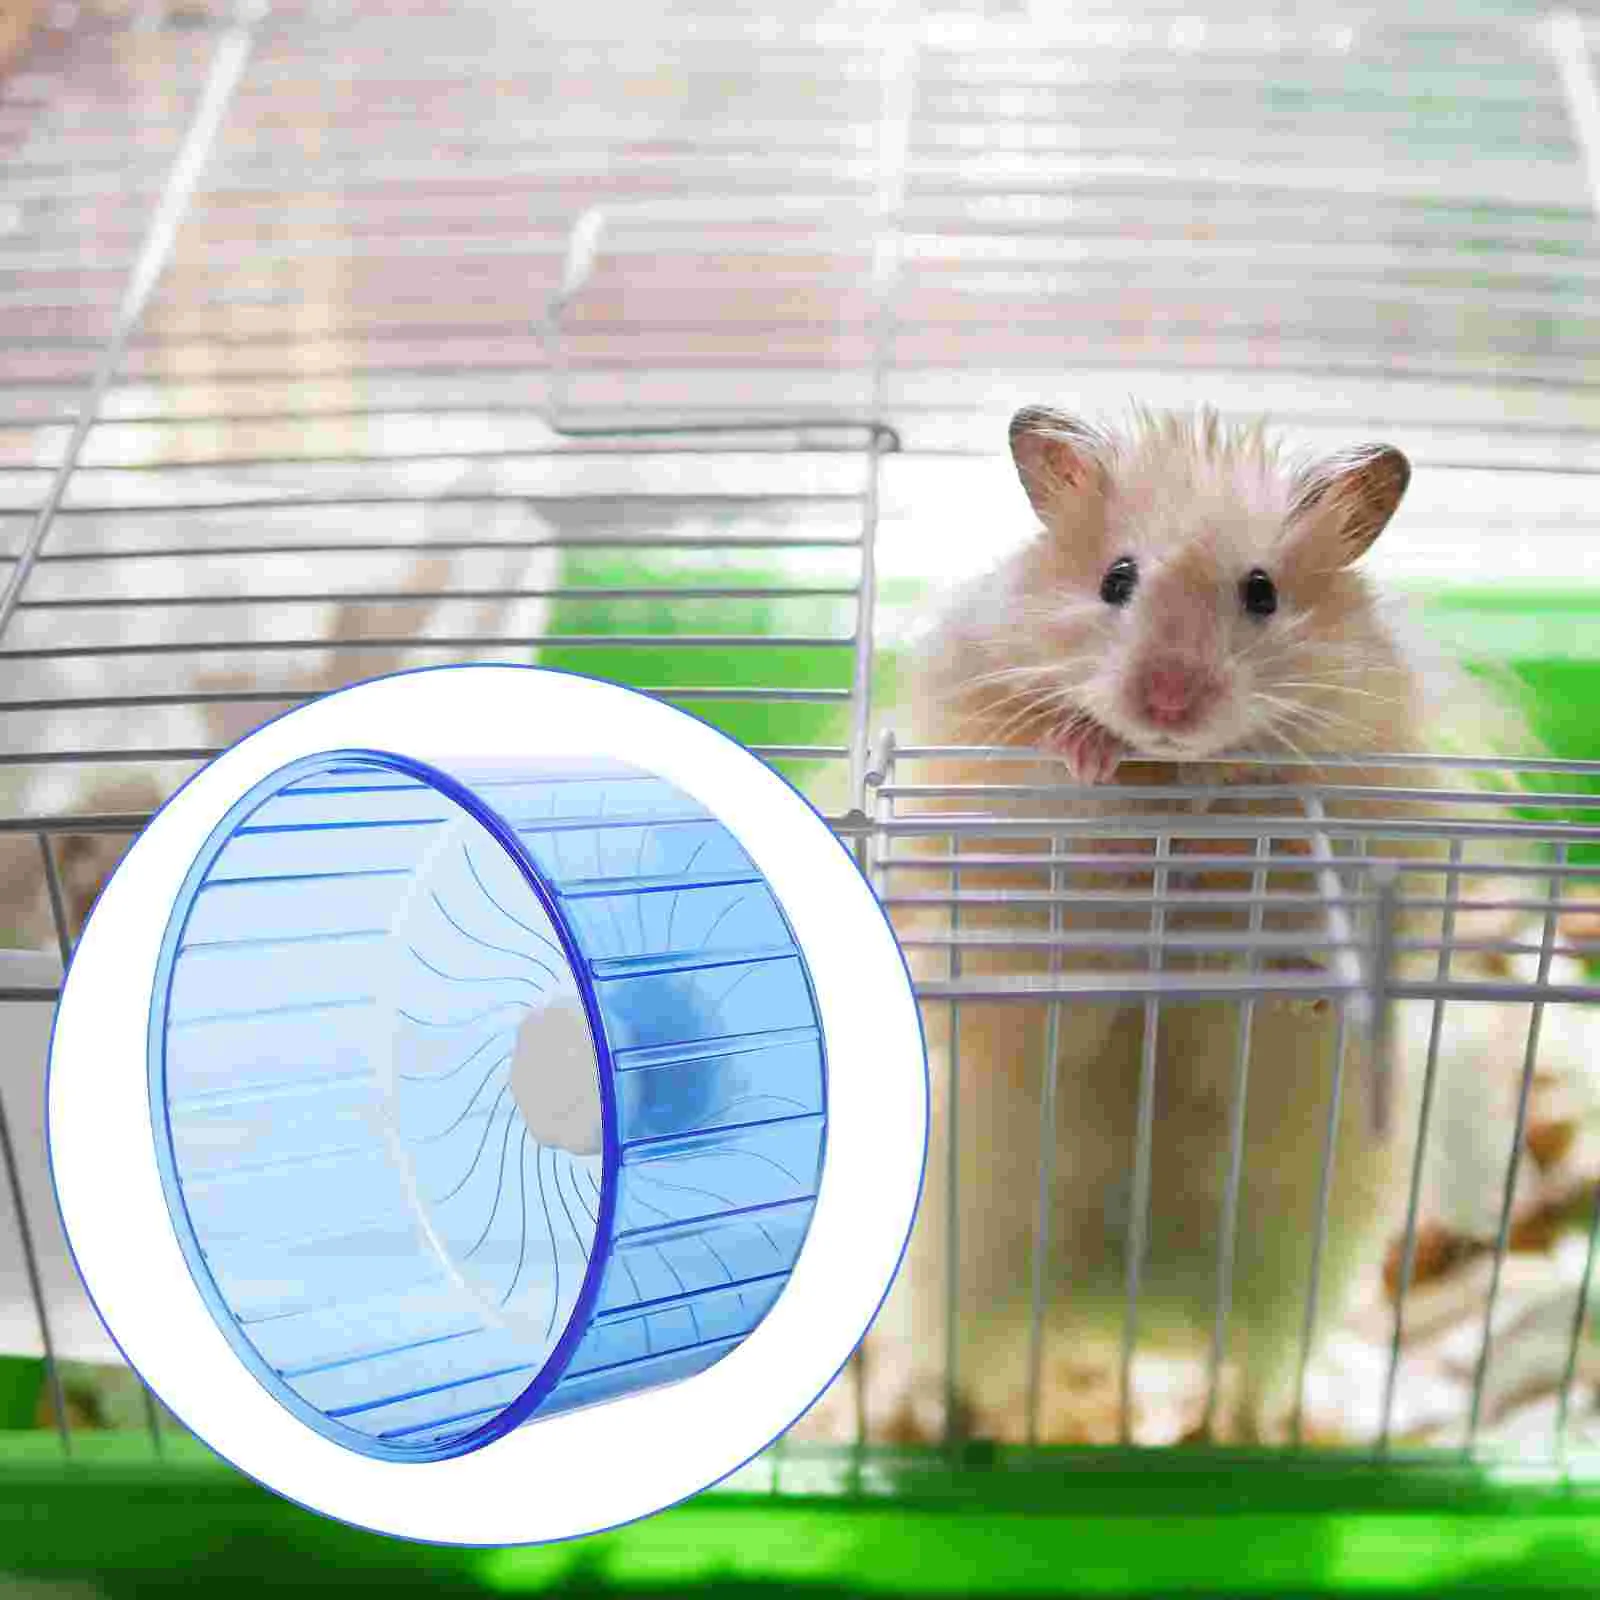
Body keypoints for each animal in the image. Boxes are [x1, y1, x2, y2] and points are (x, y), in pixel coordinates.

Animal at [857, 404, 1535, 1447]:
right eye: (1116, 579)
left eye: (1261, 592)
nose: (1168, 703)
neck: (1164, 785)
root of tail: (1125, 1322)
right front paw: (1091, 753)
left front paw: (1225, 780)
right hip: (961, 1279)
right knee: (972, 1368)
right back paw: (965, 1434)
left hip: (1287, 1286)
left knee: (1247, 1378)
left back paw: (1233, 1435)